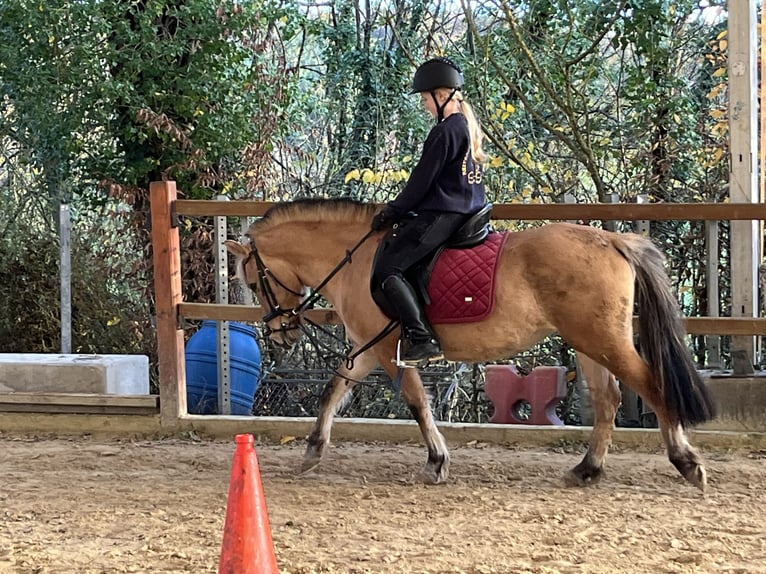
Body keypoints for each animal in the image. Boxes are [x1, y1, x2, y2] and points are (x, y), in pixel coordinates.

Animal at [224, 198, 716, 491]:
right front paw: (311, 451)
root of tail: (613, 240)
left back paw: (686, 462)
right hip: (587, 341)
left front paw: (437, 461)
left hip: (601, 339)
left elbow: (416, 401)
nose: (280, 332)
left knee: (651, 386)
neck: (356, 260)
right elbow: (334, 389)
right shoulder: (367, 348)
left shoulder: (390, 350)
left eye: (254, 280)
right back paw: (587, 469)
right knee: (608, 398)